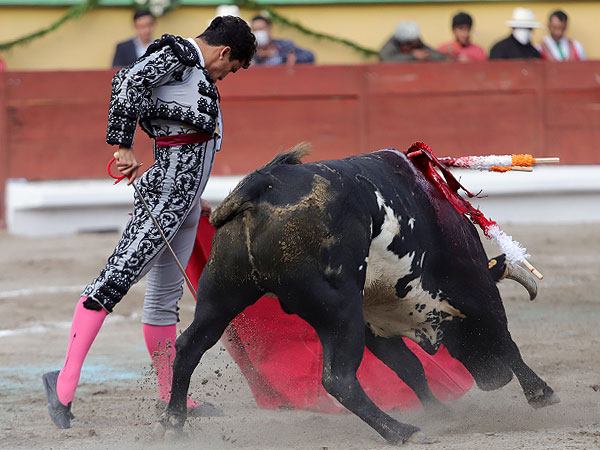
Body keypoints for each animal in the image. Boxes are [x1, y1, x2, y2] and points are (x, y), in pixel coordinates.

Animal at [156, 145, 559, 444]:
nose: (493, 380)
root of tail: (260, 186)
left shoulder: (374, 325)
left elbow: (410, 368)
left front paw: (440, 411)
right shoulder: (475, 289)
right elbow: (506, 340)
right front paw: (542, 394)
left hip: (221, 295)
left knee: (189, 346)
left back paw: (173, 423)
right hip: (339, 311)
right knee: (338, 379)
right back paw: (402, 432)